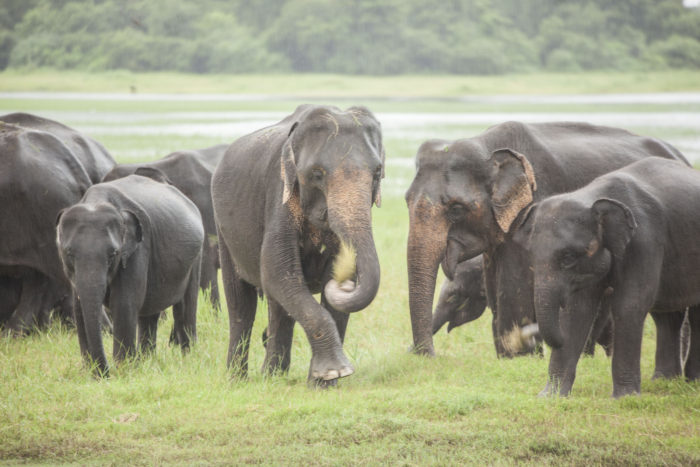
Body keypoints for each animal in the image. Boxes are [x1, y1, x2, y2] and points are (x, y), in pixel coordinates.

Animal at [56, 175, 202, 376]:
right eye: (69, 253)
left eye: (113, 254)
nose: (105, 374)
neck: (96, 201)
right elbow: (79, 310)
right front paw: (91, 372)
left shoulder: (138, 250)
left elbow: (124, 303)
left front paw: (123, 370)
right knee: (149, 314)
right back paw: (148, 360)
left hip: (194, 259)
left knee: (185, 306)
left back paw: (187, 357)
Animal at [211, 105, 386, 384]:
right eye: (317, 174)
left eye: (377, 173)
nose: (344, 283)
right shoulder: (279, 194)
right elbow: (277, 272)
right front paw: (335, 372)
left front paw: (323, 382)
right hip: (223, 229)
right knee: (241, 304)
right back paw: (240, 379)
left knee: (278, 305)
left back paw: (272, 374)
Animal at [408, 120, 688, 358]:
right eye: (406, 200)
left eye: (456, 209)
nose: (427, 356)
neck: (486, 146)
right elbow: (495, 285)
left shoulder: (532, 207)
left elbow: (514, 287)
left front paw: (520, 358)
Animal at [516, 158, 700, 398]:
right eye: (530, 256)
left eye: (568, 257)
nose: (527, 335)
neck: (592, 196)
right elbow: (577, 311)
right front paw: (550, 397)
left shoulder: (645, 241)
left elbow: (630, 304)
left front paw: (625, 398)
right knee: (667, 315)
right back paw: (665, 380)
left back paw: (692, 381)